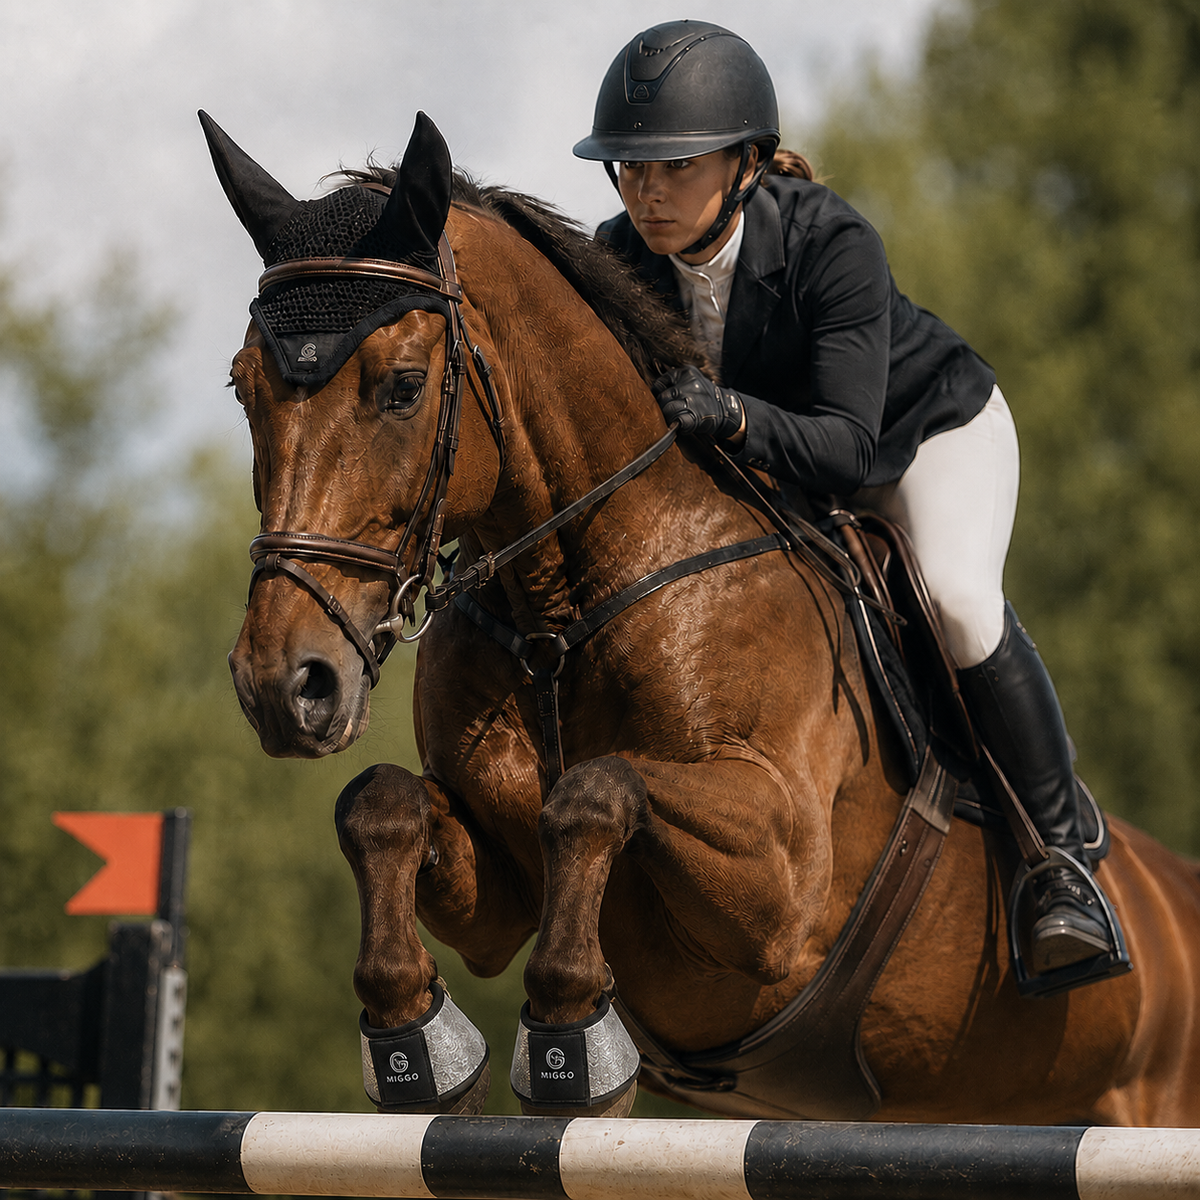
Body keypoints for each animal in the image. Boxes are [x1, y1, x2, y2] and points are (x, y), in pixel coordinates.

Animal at [204, 109, 1200, 1126]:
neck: (562, 612)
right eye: (244, 386)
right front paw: (416, 1040)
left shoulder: (781, 885)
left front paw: (571, 1035)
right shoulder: (498, 893)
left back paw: (1066, 908)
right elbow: (381, 803)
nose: (284, 684)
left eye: (403, 386)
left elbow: (598, 789)